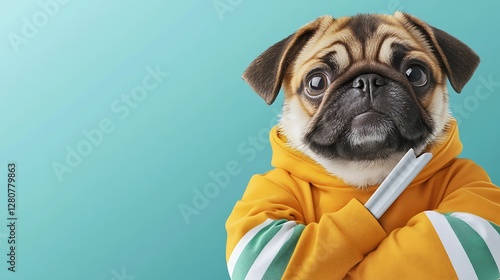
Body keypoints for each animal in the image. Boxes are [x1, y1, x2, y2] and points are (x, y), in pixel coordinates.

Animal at [228, 11, 500, 280]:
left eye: (415, 74)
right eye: (316, 83)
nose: (368, 80)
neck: (366, 170)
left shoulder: (471, 181)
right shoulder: (266, 193)